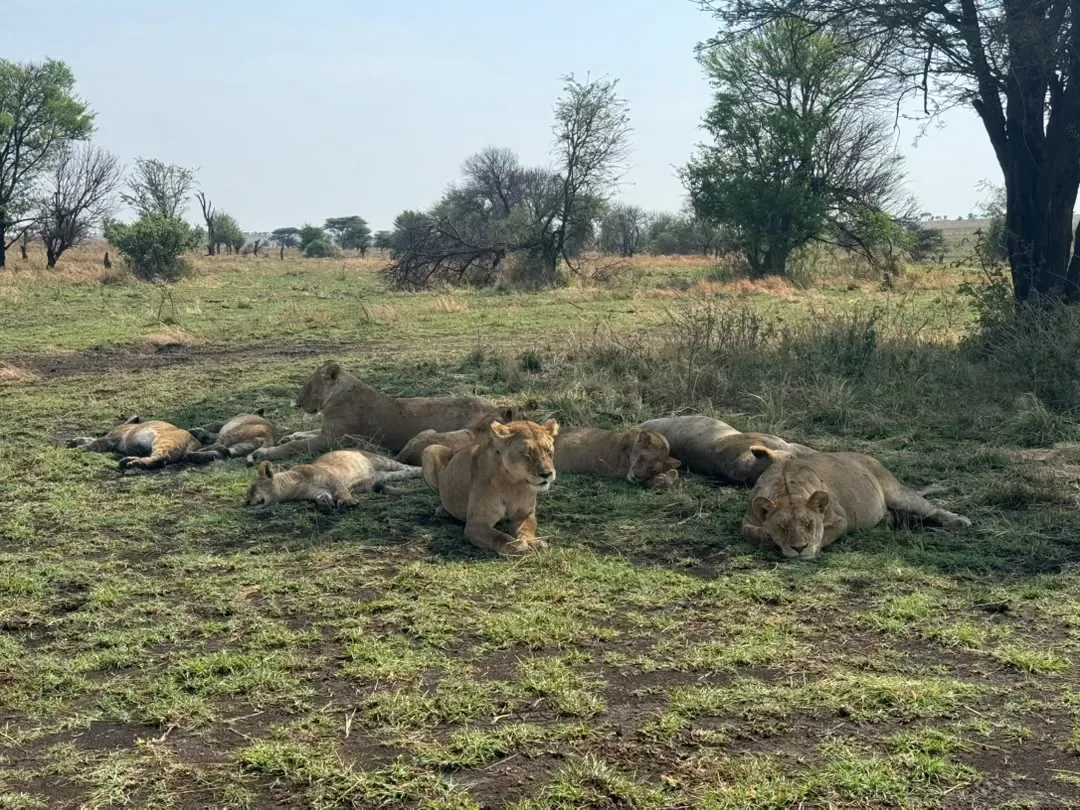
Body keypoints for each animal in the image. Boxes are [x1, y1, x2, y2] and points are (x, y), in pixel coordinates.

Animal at [68, 415, 221, 470]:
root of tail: (196, 443)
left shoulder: (111, 439)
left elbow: (93, 443)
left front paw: (74, 448)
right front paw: (74, 442)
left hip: (162, 441)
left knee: (161, 458)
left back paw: (135, 463)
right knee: (160, 460)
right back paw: (128, 460)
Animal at [245, 450, 423, 510]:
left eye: (252, 490)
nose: (246, 503)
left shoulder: (333, 478)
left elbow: (341, 490)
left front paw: (349, 501)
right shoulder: (319, 491)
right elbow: (322, 497)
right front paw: (325, 504)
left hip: (381, 460)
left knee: (409, 467)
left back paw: (421, 469)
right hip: (386, 475)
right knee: (404, 473)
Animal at [252, 361, 515, 462]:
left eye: (308, 386)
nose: (297, 404)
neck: (335, 395)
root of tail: (495, 405)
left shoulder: (333, 439)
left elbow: (297, 445)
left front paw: (265, 453)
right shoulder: (327, 432)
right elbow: (304, 434)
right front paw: (289, 435)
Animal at [421, 419, 558, 557]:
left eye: (548, 451)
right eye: (527, 454)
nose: (546, 474)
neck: (514, 483)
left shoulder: (525, 514)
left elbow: (527, 530)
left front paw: (534, 542)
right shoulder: (476, 523)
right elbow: (499, 536)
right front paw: (517, 546)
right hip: (429, 449)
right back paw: (442, 511)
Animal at [742, 449, 972, 559]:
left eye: (809, 524)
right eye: (782, 526)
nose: (799, 548)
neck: (786, 488)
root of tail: (869, 457)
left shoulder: (840, 519)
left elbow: (826, 534)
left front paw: (811, 548)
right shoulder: (747, 521)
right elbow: (754, 533)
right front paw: (771, 538)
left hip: (898, 494)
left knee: (931, 508)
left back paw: (959, 521)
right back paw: (888, 521)